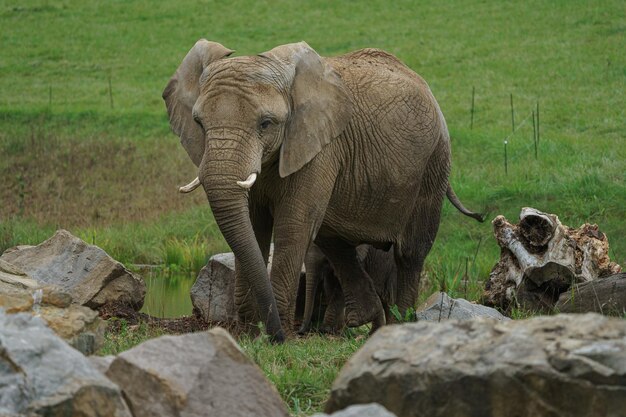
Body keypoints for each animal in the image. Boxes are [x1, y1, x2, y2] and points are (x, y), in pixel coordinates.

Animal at [162, 39, 482, 342]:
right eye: (199, 123)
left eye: (266, 124)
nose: (277, 334)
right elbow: (253, 226)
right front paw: (247, 335)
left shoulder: (320, 149)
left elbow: (293, 226)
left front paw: (273, 338)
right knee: (336, 243)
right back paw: (370, 320)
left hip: (434, 163)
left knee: (410, 253)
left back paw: (398, 326)